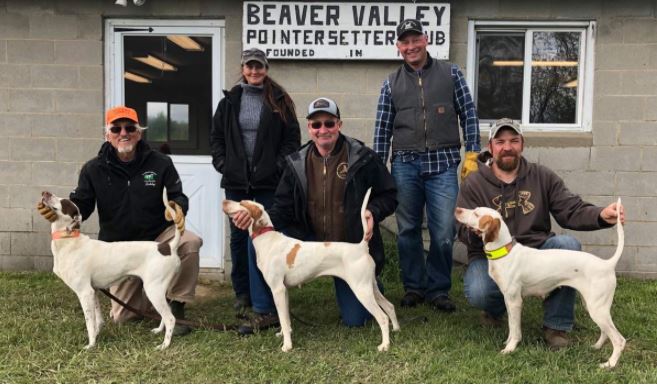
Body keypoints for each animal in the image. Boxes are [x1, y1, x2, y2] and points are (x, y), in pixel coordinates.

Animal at [39, 188, 182, 352]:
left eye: (64, 202)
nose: (45, 192)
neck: (69, 240)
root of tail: (168, 247)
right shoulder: (93, 291)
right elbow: (97, 321)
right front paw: (96, 336)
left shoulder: (85, 292)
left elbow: (89, 323)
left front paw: (91, 345)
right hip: (158, 290)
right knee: (166, 313)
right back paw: (159, 330)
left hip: (153, 289)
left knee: (170, 318)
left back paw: (164, 345)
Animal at [222, 188, 400, 352]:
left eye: (242, 203)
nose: (224, 201)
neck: (268, 239)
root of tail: (361, 246)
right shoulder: (284, 291)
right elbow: (285, 319)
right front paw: (284, 334)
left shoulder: (277, 289)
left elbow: (283, 319)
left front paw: (287, 346)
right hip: (371, 287)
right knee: (390, 306)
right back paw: (397, 330)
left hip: (361, 290)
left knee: (382, 317)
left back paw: (385, 345)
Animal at [454, 201, 628, 370]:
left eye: (476, 214)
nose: (457, 209)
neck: (505, 252)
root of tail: (607, 264)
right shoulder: (508, 300)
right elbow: (511, 326)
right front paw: (508, 342)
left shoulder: (515, 301)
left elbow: (515, 330)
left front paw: (510, 348)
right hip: (593, 306)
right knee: (605, 332)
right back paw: (596, 347)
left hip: (597, 309)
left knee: (619, 340)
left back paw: (610, 364)